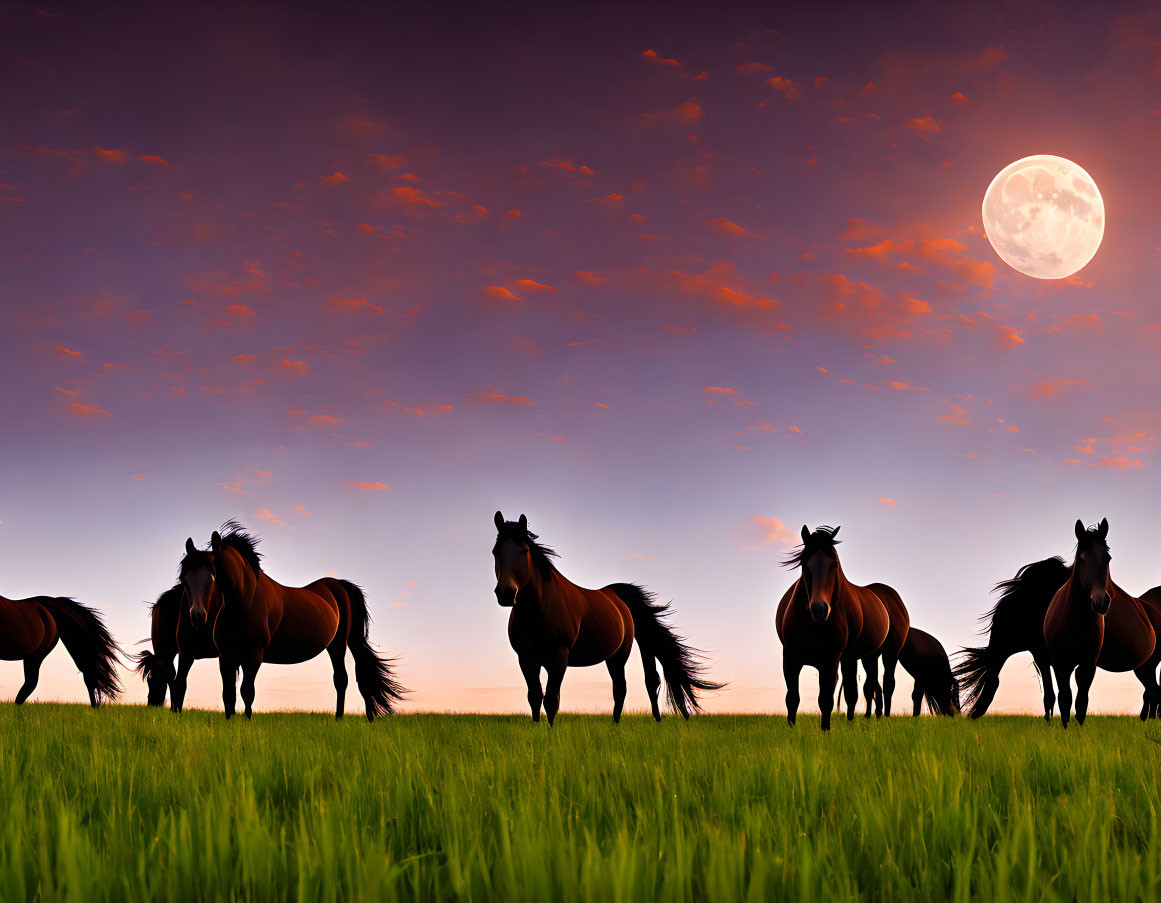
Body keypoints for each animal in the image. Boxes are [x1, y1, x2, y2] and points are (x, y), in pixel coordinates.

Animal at [174, 519, 404, 719]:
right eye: (184, 579)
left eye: (213, 577)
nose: (197, 617)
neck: (244, 602)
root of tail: (339, 585)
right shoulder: (226, 655)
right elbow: (228, 695)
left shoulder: (254, 655)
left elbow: (247, 692)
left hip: (341, 643)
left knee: (346, 678)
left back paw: (353, 719)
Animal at [492, 510, 724, 719]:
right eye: (495, 551)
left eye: (523, 551)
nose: (506, 593)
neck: (538, 608)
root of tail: (617, 596)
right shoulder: (526, 658)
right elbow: (534, 697)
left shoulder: (559, 656)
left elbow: (551, 700)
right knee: (643, 682)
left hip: (618, 656)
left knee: (625, 688)